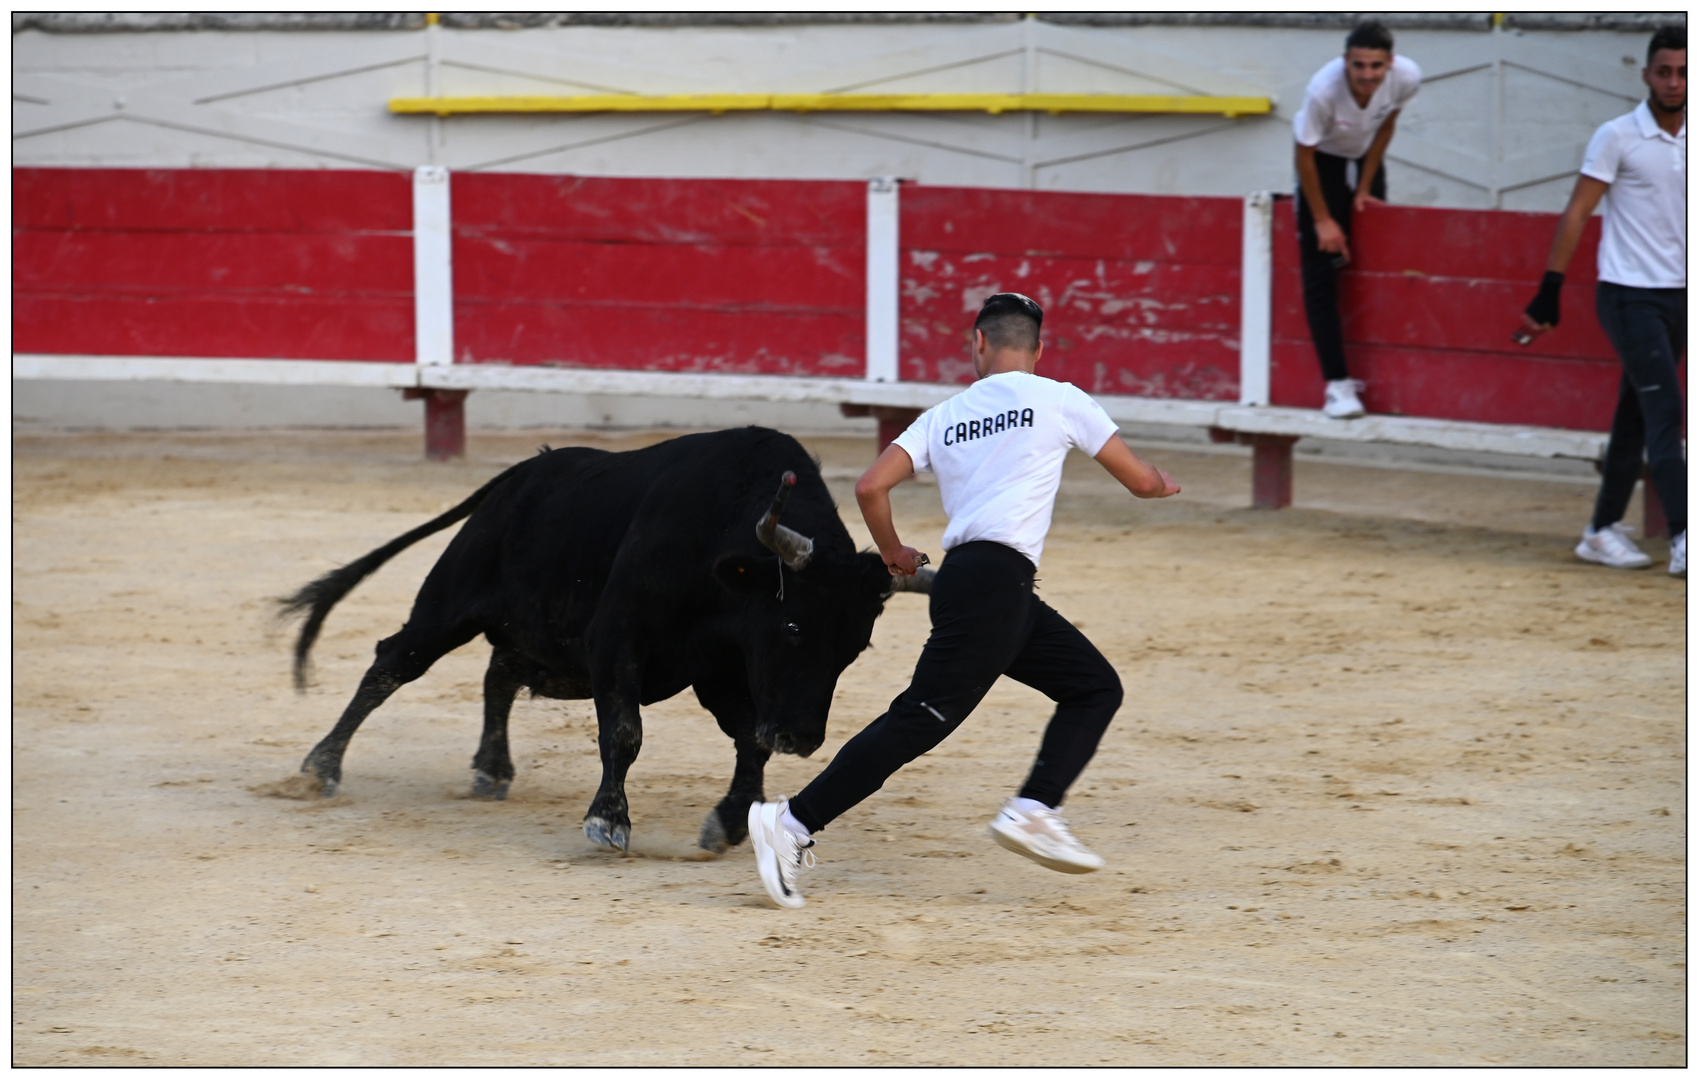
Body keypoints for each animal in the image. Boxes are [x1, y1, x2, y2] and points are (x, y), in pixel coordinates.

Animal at [283, 427, 937, 852]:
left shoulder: (721, 671)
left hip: (531, 635)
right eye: (794, 626)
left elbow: (749, 740)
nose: (802, 739)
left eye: (854, 650)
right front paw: (608, 819)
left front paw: (727, 821)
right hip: (451, 599)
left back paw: (492, 771)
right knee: (393, 662)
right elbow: (624, 732)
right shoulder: (617, 640)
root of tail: (519, 475)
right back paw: (321, 768)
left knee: (499, 673)